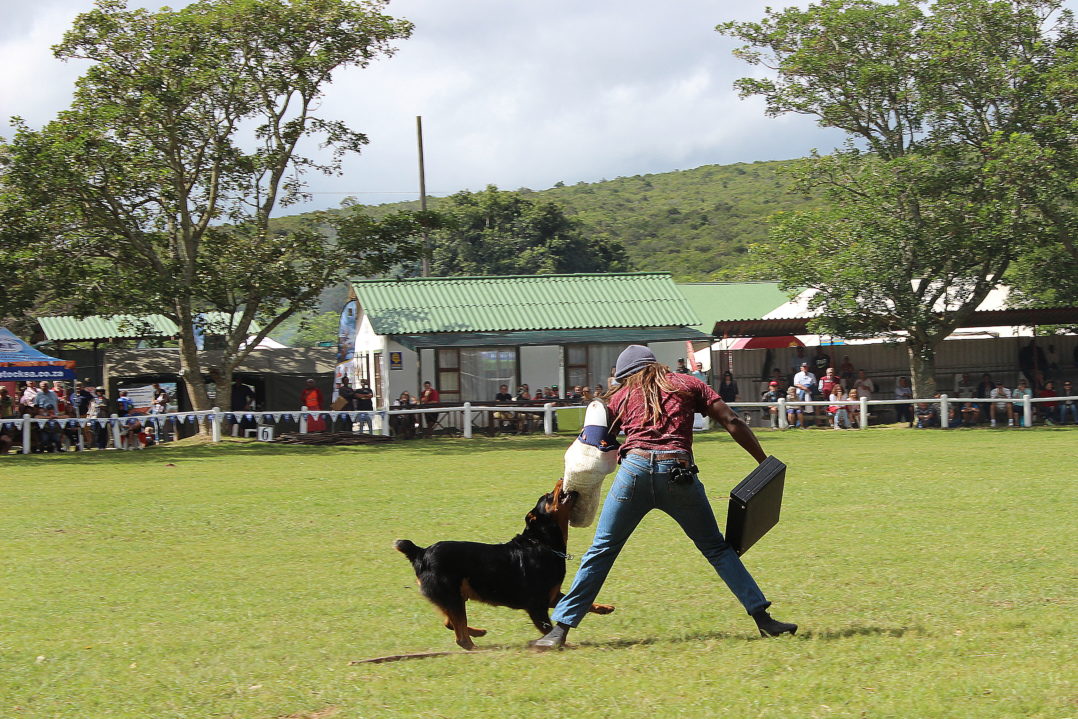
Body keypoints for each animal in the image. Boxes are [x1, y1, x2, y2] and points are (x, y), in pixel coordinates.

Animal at [396, 478, 616, 651]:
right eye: (548, 496)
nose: (562, 478)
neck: (542, 542)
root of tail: (421, 552)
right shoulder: (537, 605)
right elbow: (548, 626)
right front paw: (561, 643)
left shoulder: (552, 596)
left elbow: (579, 602)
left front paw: (604, 607)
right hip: (451, 596)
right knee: (460, 636)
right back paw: (476, 646)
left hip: (453, 597)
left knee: (450, 622)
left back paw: (477, 632)